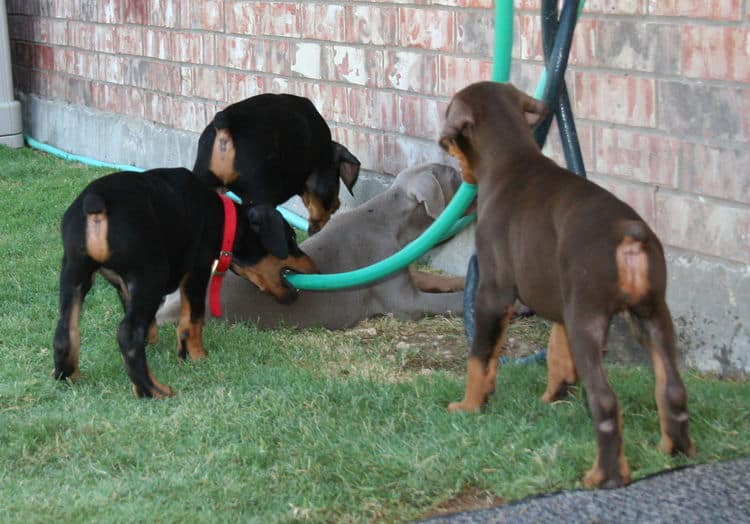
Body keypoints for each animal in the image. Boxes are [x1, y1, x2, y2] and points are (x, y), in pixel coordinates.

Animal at [53, 168, 318, 398]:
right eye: (291, 237)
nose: (315, 266)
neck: (221, 217)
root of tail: (96, 201)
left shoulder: (125, 287)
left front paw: (159, 343)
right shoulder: (197, 270)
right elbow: (193, 320)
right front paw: (197, 356)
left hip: (73, 273)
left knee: (66, 331)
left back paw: (67, 376)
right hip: (150, 273)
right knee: (128, 334)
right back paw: (152, 390)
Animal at [156, 162, 468, 330]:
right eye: (453, 175)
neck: (389, 220)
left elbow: (426, 276)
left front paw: (460, 280)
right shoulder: (402, 301)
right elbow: (442, 303)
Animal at [440, 81, 692, 488]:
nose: (460, 173)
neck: (512, 158)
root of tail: (629, 234)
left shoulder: (493, 291)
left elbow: (480, 355)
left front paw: (470, 405)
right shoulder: (561, 304)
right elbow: (557, 351)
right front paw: (553, 398)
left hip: (587, 319)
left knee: (604, 401)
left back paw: (604, 475)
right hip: (652, 314)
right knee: (672, 387)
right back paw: (674, 452)